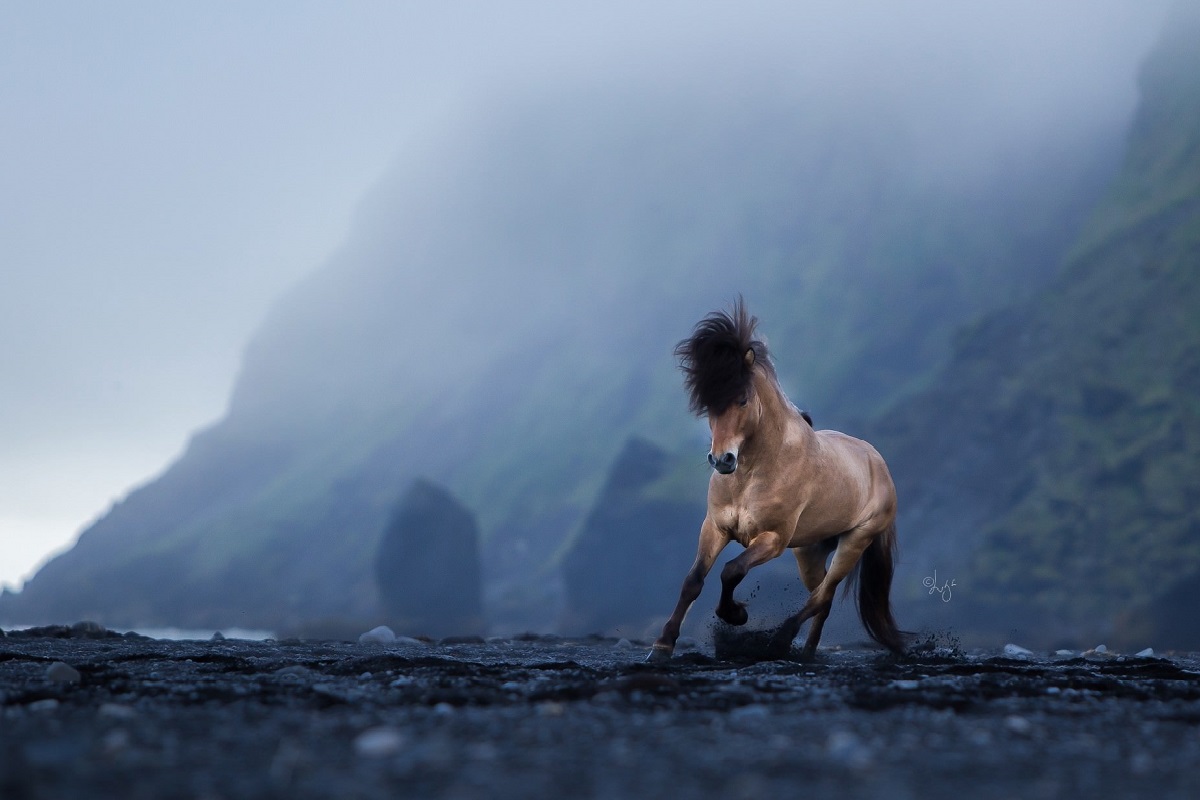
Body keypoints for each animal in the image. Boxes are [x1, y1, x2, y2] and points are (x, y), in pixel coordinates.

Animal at [652, 299, 902, 662]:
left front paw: (736, 615)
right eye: (708, 403)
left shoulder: (773, 539)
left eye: (742, 399)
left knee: (822, 594)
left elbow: (732, 570)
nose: (722, 460)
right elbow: (693, 581)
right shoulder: (715, 527)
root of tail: (879, 464)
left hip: (855, 541)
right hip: (810, 551)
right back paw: (807, 651)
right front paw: (662, 645)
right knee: (822, 598)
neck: (752, 475)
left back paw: (780, 641)